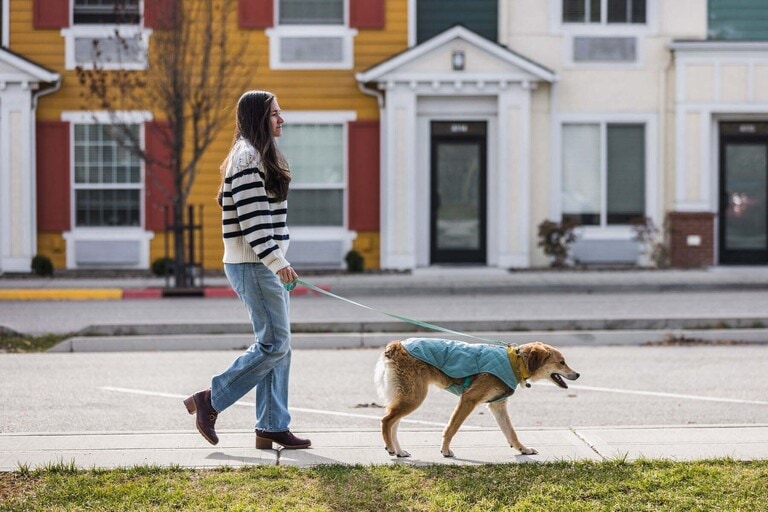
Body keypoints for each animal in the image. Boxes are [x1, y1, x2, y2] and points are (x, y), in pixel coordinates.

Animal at [376, 338, 580, 458]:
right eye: (561, 362)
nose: (577, 374)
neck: (515, 362)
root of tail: (396, 345)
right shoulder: (469, 399)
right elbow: (452, 428)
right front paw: (445, 450)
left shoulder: (498, 405)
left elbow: (511, 432)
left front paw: (523, 449)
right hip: (414, 397)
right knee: (386, 421)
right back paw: (391, 448)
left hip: (407, 397)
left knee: (393, 423)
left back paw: (399, 451)